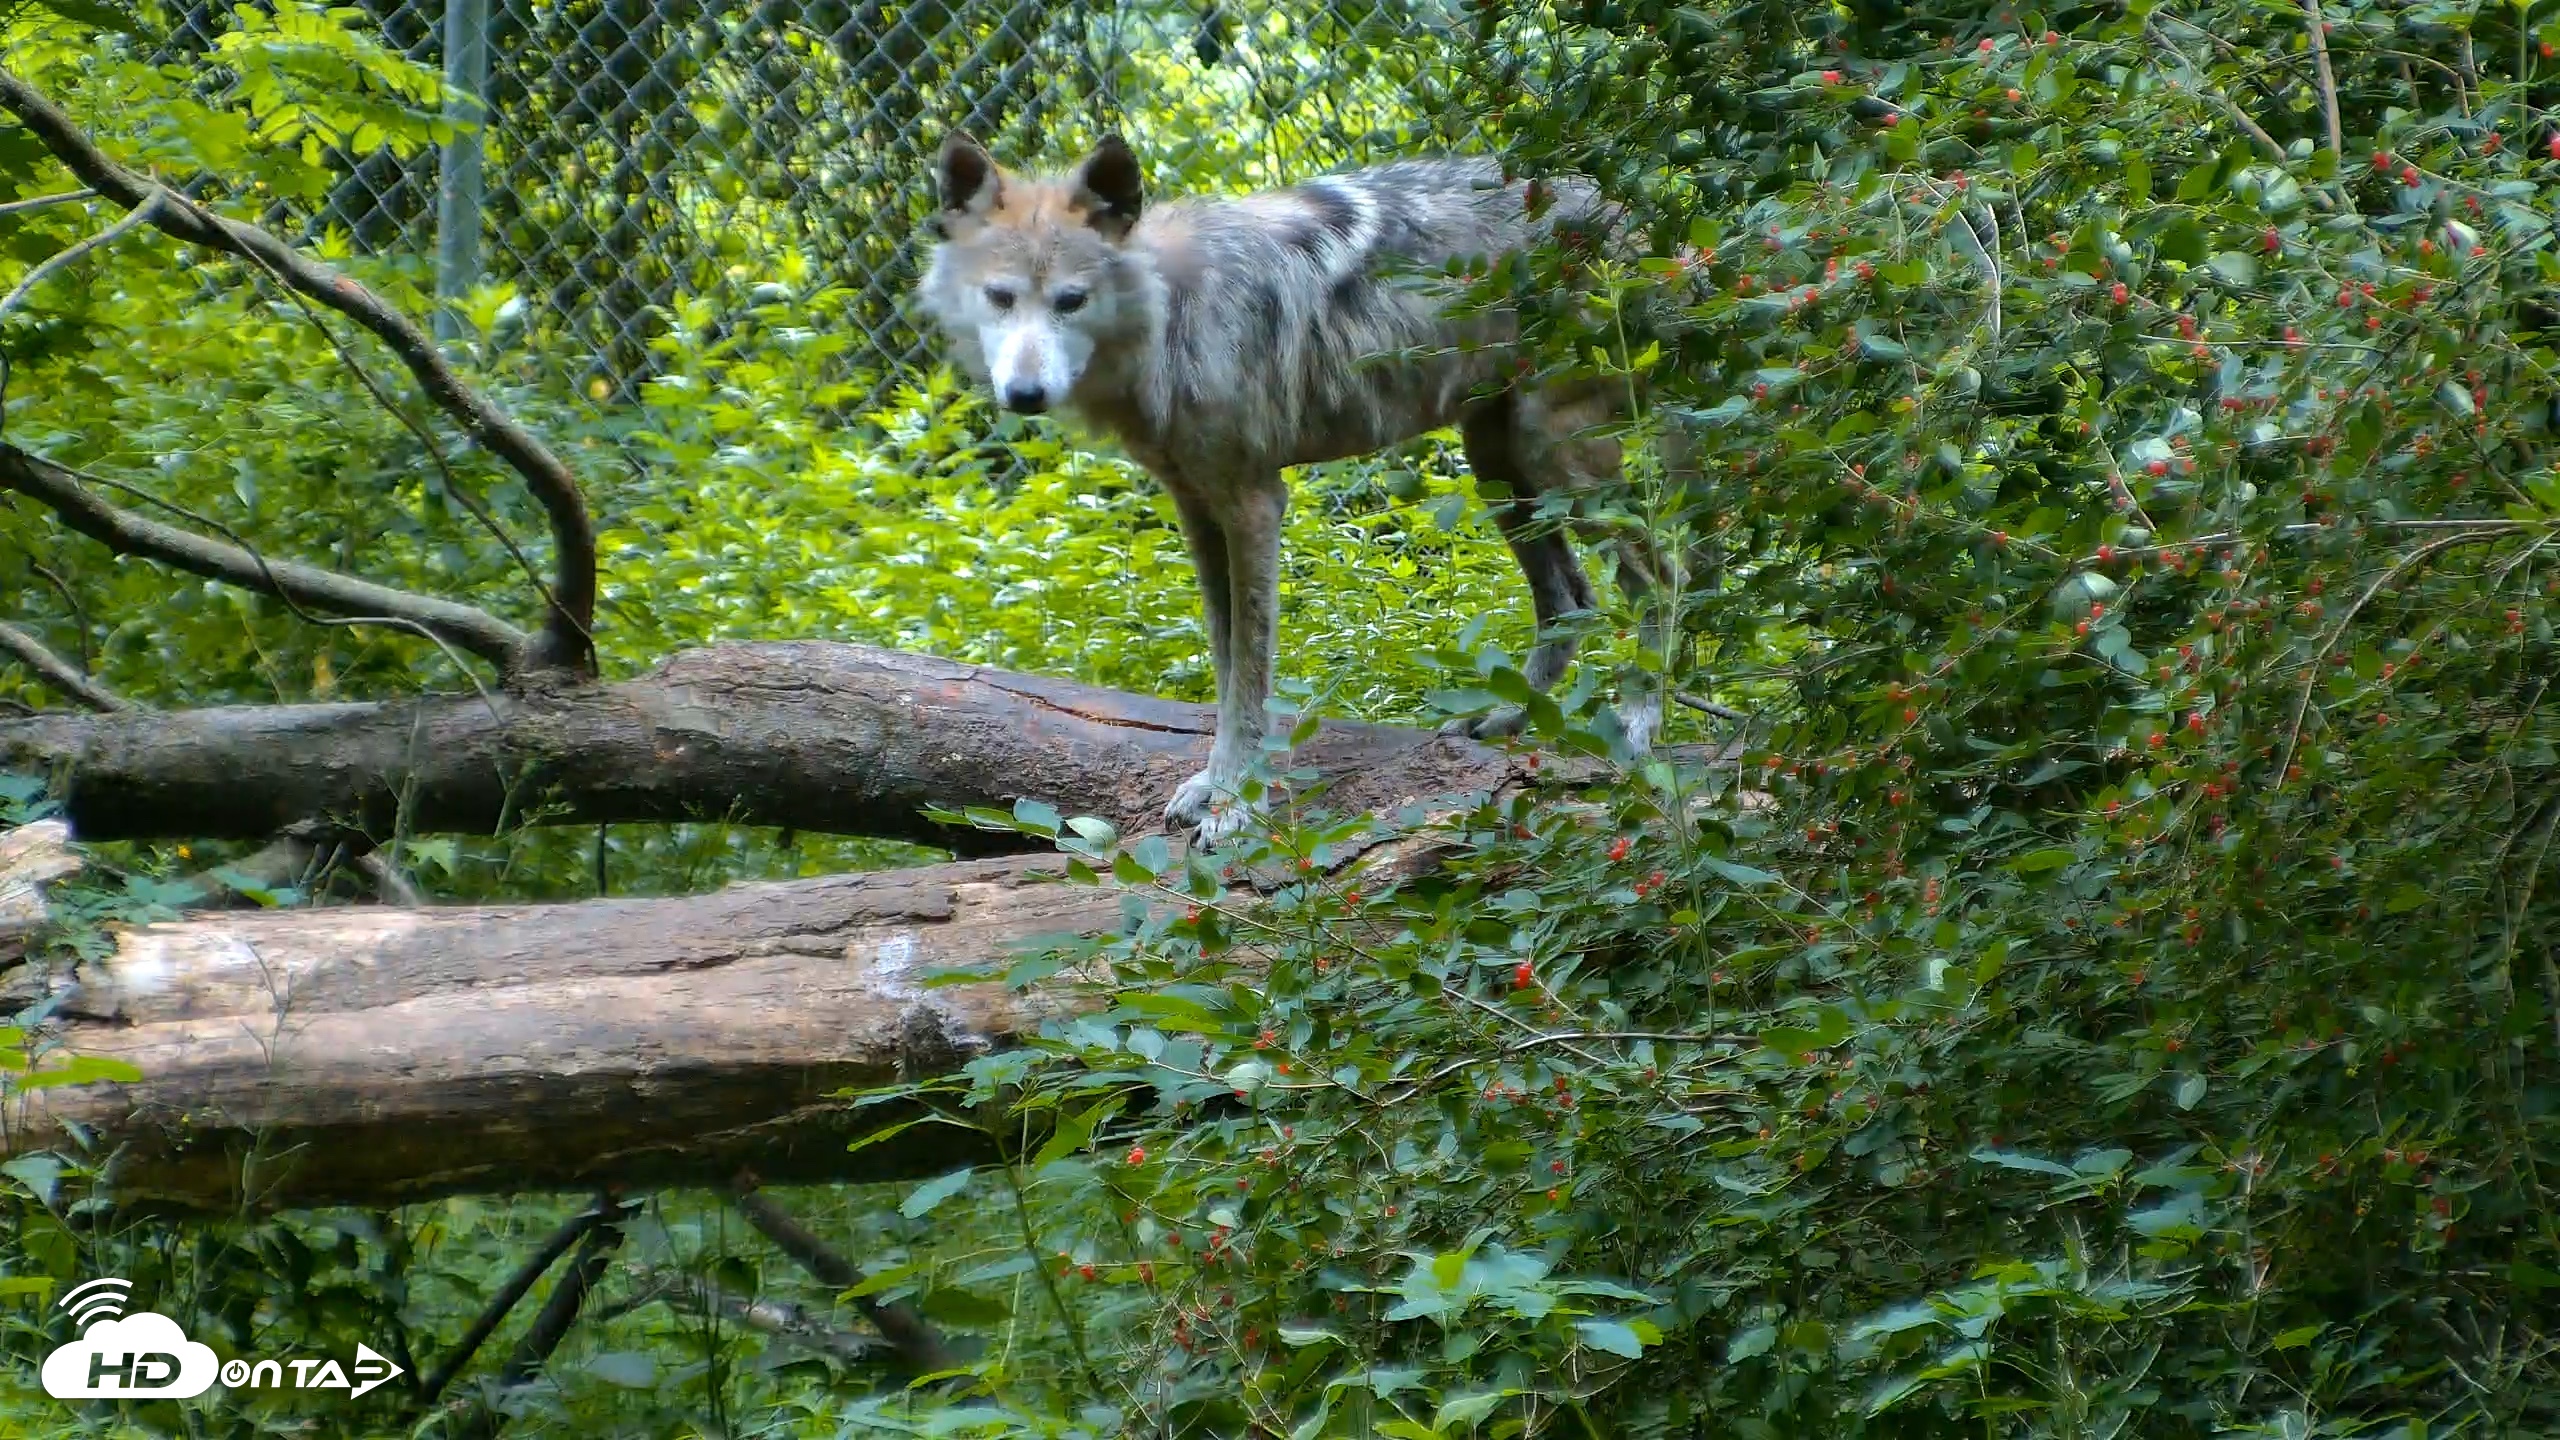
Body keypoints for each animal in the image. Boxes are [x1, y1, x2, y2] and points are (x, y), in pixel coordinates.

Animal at [917, 132, 1698, 847]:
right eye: (1001, 299)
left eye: (1071, 301)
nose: (1024, 394)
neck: (1175, 313)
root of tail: (1636, 216)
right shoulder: (1198, 512)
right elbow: (1225, 668)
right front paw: (1214, 785)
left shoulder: (1254, 506)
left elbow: (1250, 678)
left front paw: (1237, 806)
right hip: (1500, 471)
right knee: (1572, 600)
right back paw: (1510, 720)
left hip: (1560, 464)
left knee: (1662, 580)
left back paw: (1638, 728)